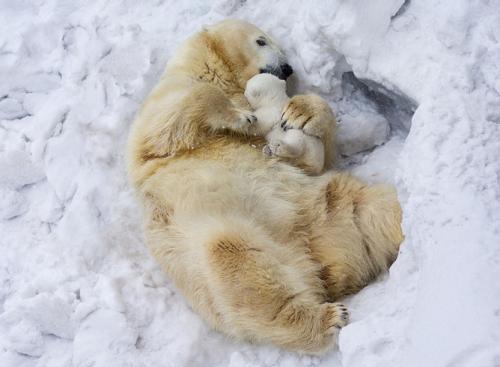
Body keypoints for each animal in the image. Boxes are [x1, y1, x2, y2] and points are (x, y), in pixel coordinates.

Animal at [127, 18, 404, 356]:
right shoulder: (163, 106)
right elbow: (171, 119)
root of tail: (320, 261)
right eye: (261, 40)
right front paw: (241, 117)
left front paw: (301, 111)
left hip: (331, 206)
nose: (287, 68)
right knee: (236, 260)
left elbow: (319, 158)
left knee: (380, 209)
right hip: (224, 236)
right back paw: (327, 318)